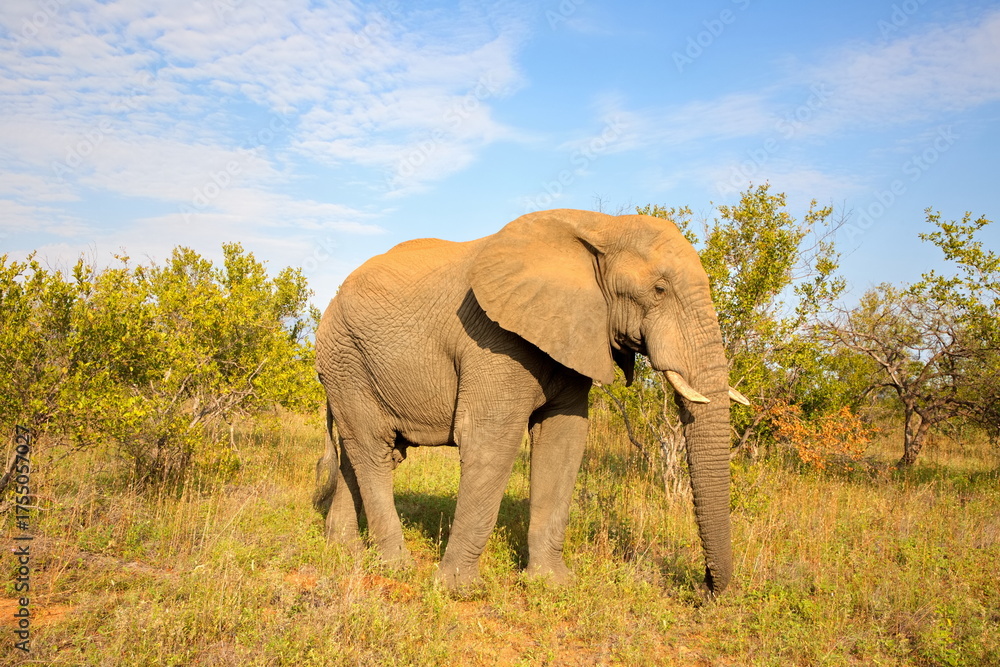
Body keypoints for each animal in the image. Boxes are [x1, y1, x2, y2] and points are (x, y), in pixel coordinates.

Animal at [313, 208, 747, 594]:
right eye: (659, 290)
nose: (704, 587)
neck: (601, 227)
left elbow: (563, 441)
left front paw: (552, 584)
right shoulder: (493, 338)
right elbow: (490, 441)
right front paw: (459, 590)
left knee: (370, 453)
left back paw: (344, 551)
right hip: (345, 357)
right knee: (373, 448)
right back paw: (395, 567)